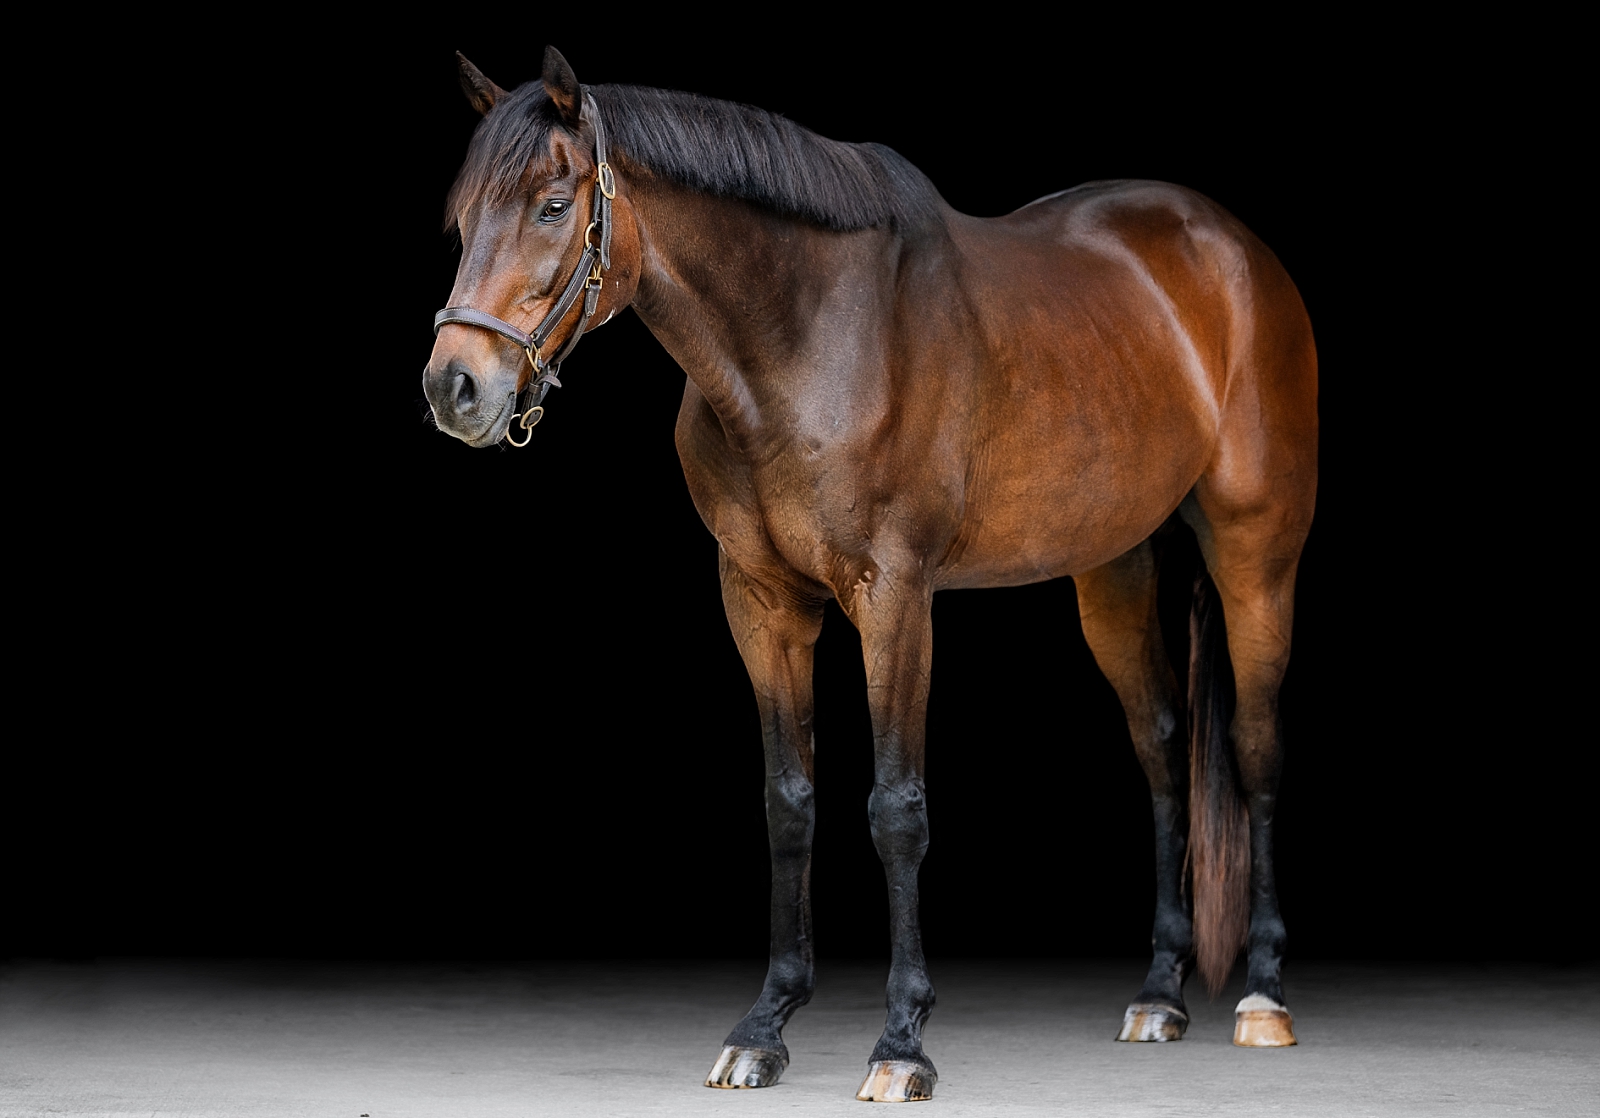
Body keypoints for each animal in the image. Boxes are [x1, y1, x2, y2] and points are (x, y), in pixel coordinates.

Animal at [422, 48, 1312, 1106]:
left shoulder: (897, 600)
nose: (454, 388)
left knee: (1256, 753)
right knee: (1163, 749)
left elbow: (896, 809)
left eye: (554, 207)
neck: (813, 339)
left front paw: (902, 1041)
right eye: (462, 218)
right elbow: (788, 803)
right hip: (1114, 570)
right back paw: (1159, 994)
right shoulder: (760, 604)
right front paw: (764, 1027)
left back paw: (1263, 997)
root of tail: (1233, 249)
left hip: (1257, 554)